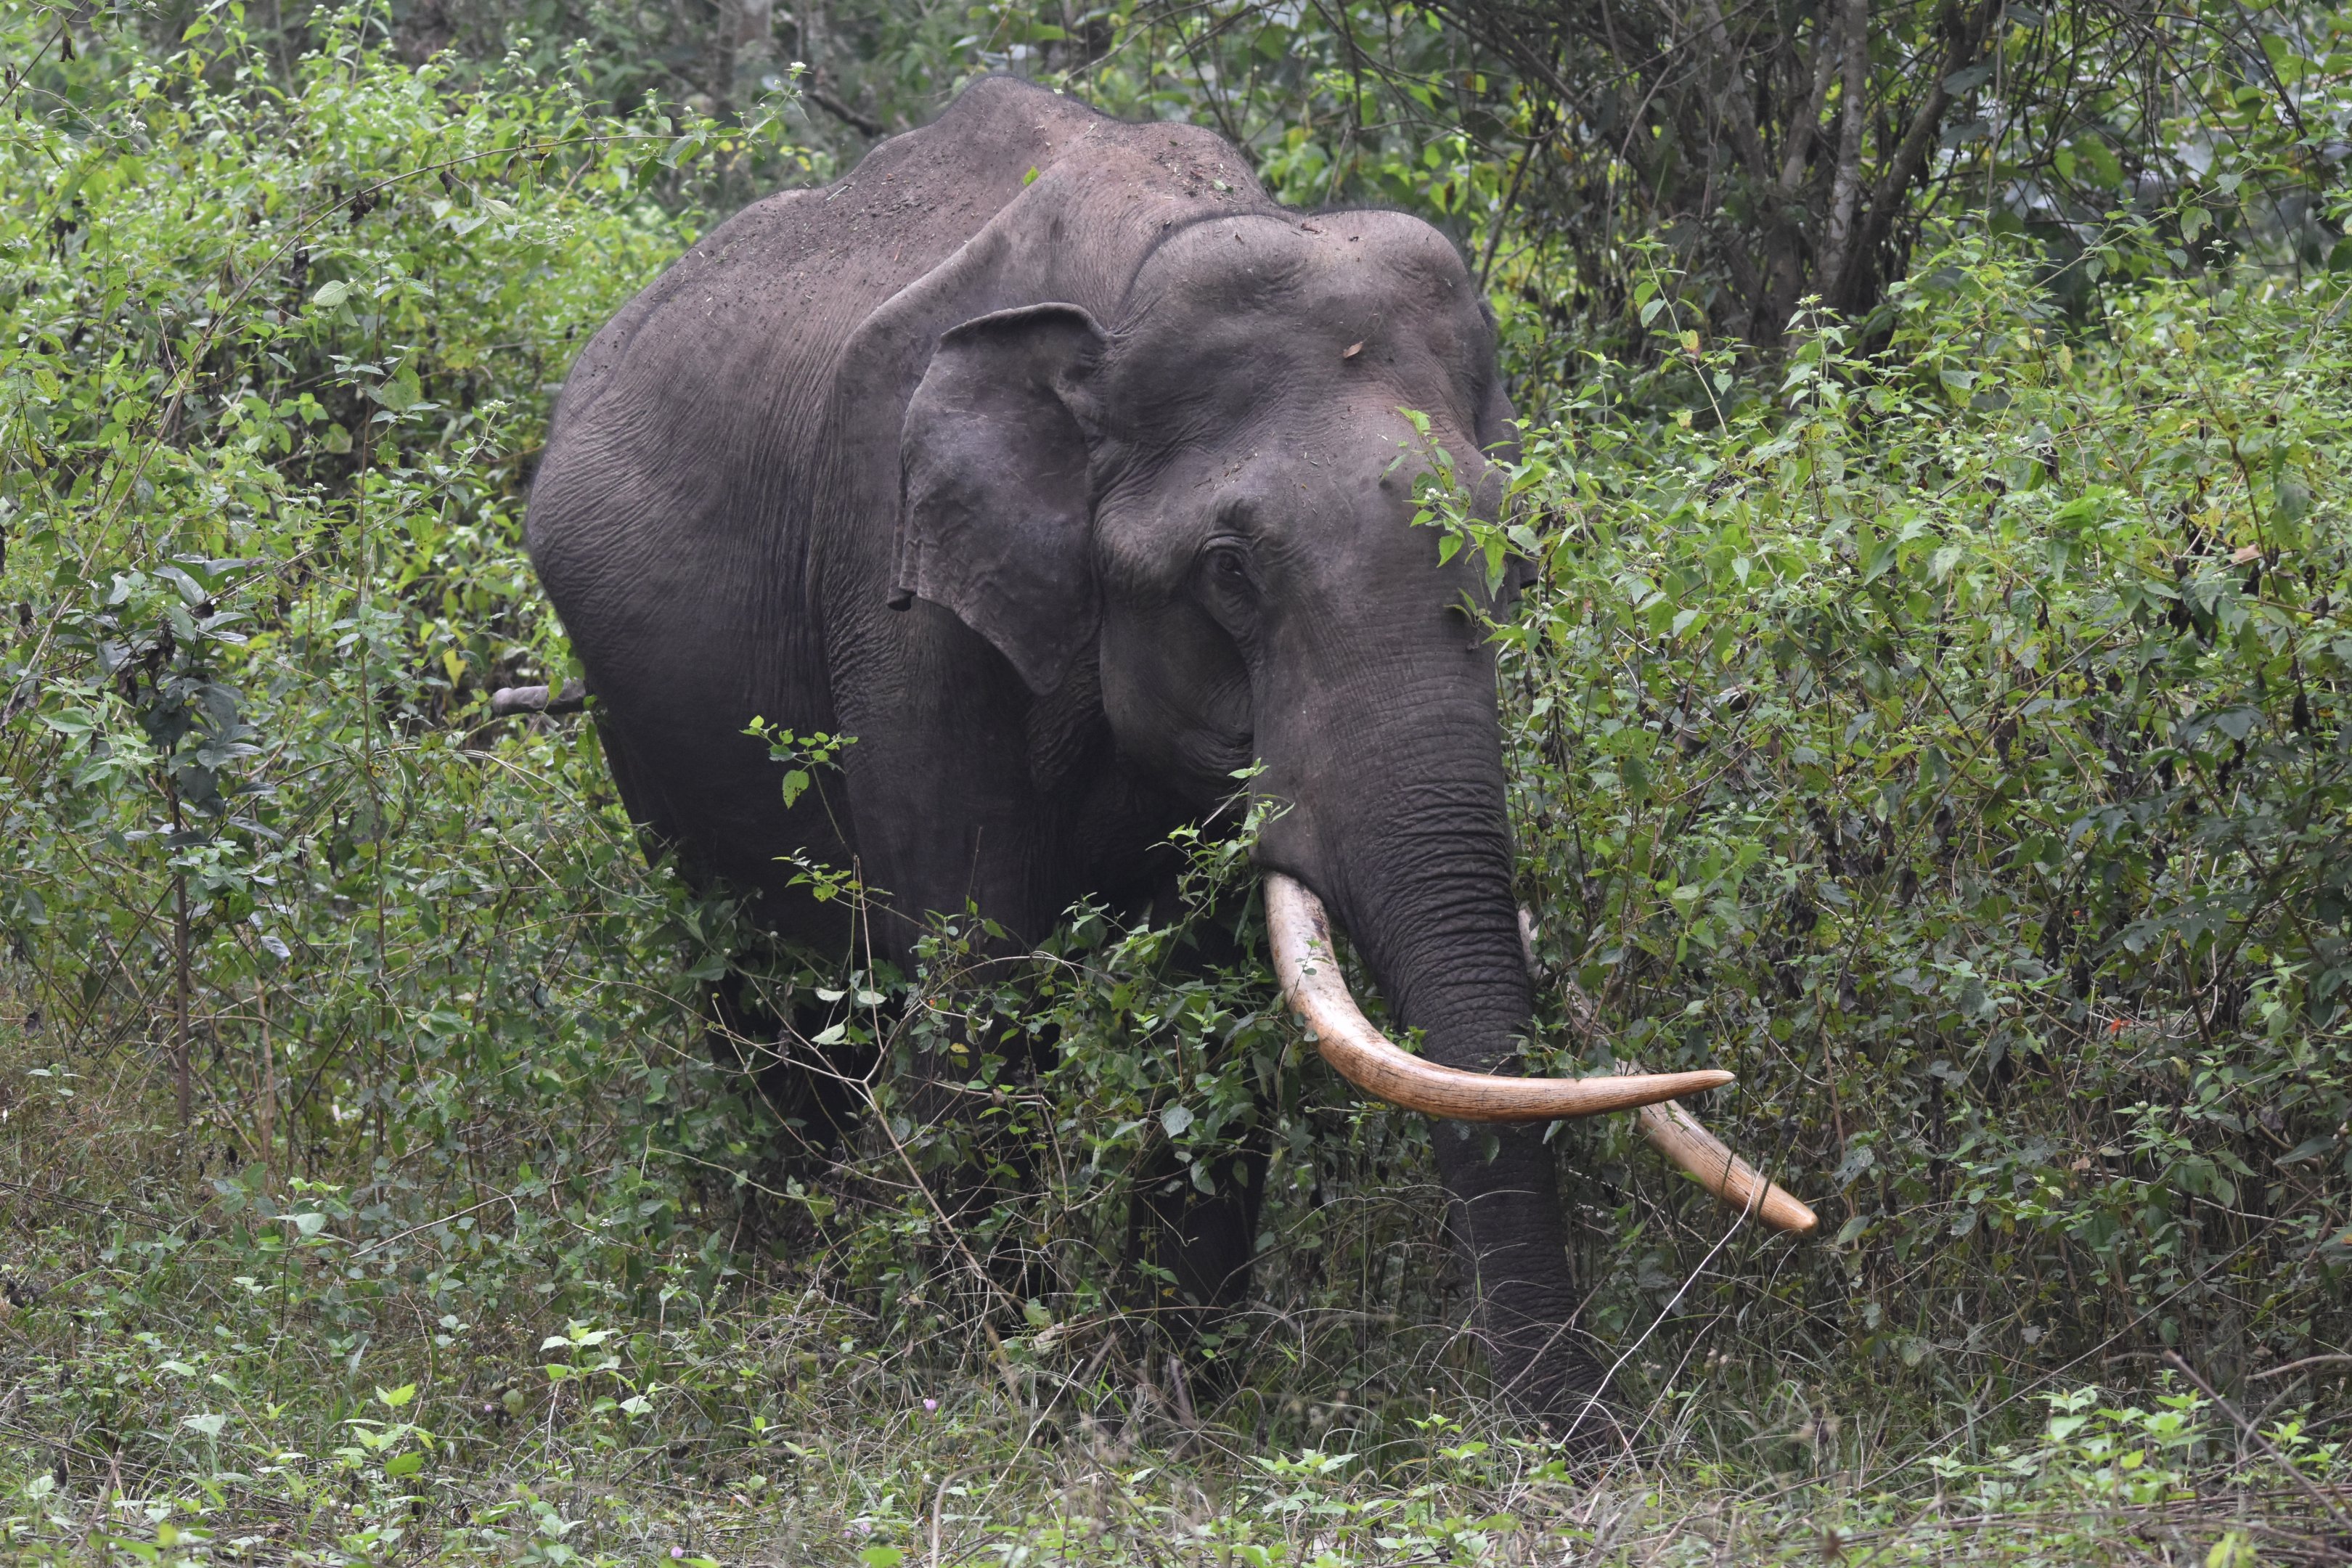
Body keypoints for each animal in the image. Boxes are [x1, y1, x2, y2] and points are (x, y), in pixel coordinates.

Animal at [522, 74, 1808, 1430]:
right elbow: (980, 979)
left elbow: (1222, 1005)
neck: (1142, 273)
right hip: (634, 726)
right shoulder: (898, 589)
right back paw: (797, 1284)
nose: (1583, 1448)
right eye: (1231, 573)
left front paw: (1183, 1407)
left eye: (1517, 555)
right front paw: (999, 1388)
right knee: (764, 1006)